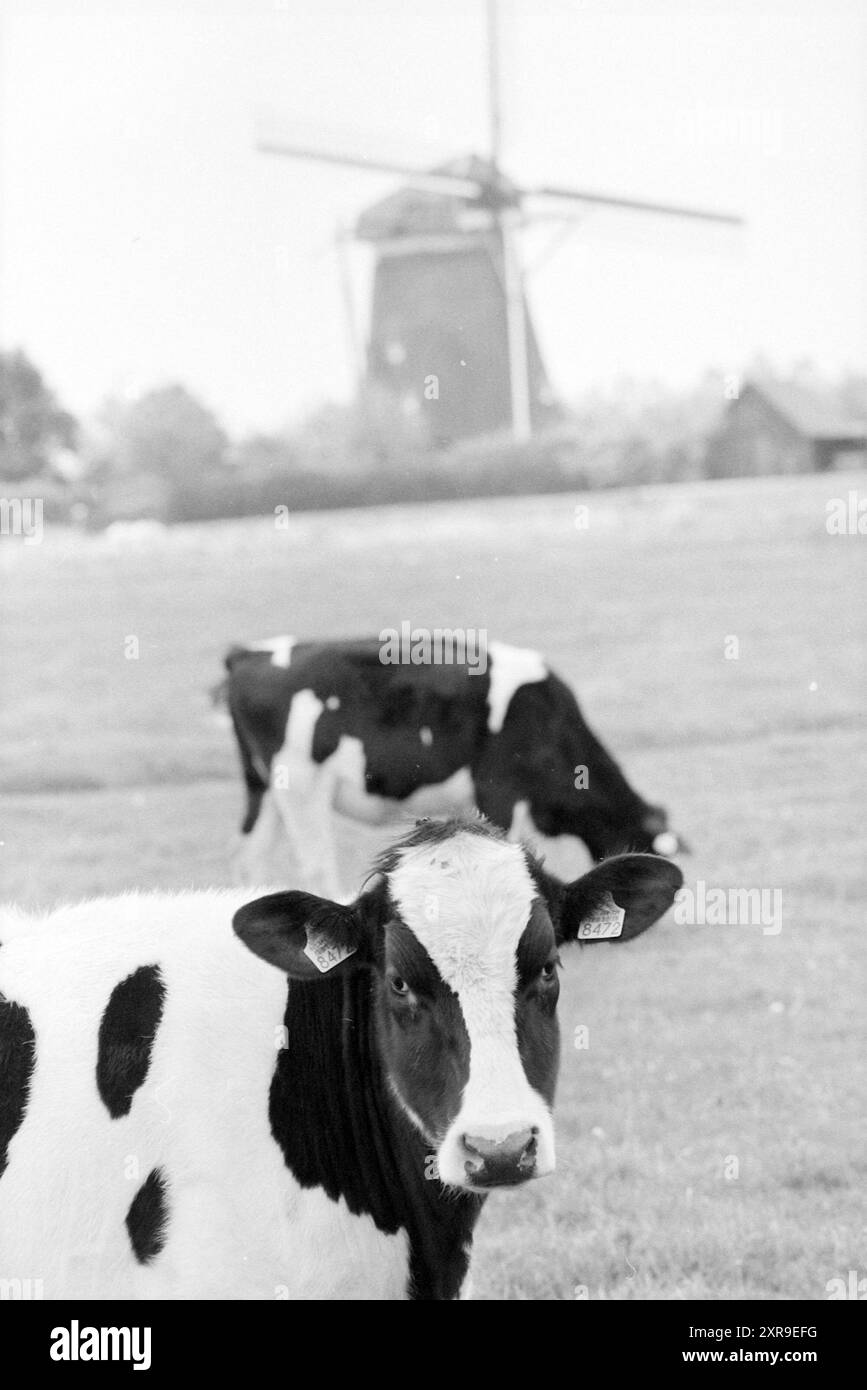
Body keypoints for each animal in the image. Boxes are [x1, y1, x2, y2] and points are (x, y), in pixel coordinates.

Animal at [215, 636, 683, 895]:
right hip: (301, 785)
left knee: (248, 858)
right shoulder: (498, 788)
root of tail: (249, 654)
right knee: (315, 862)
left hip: (264, 788)